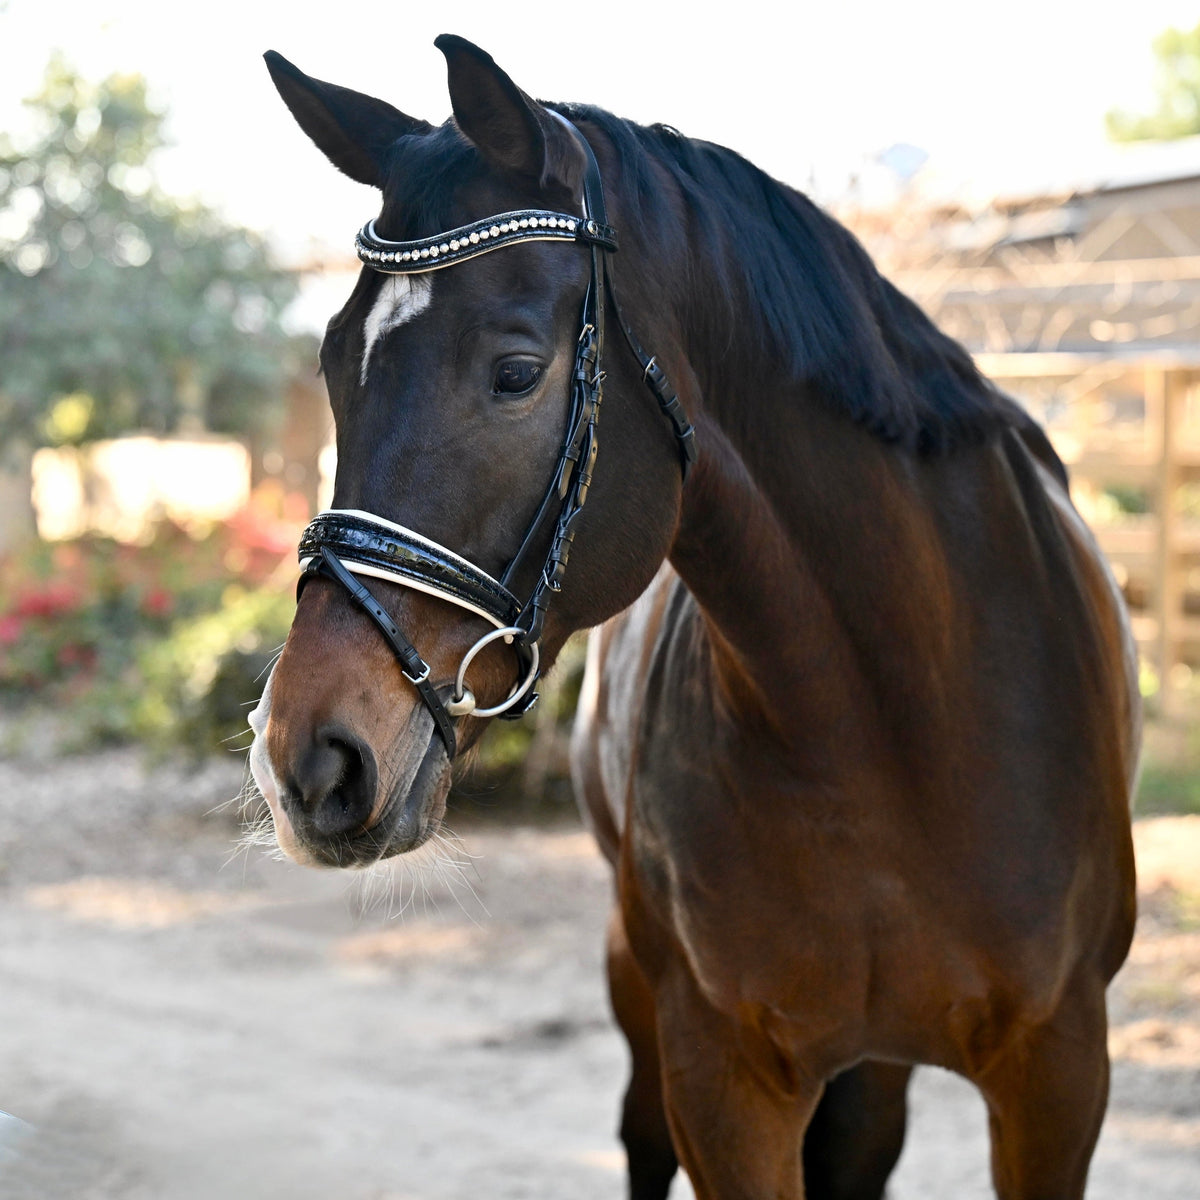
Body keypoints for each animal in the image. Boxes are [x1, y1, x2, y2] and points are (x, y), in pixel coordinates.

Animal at [250, 37, 1132, 1200]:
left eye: (516, 372)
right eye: (333, 365)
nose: (306, 758)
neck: (894, 725)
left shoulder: (1058, 1074)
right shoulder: (724, 1075)